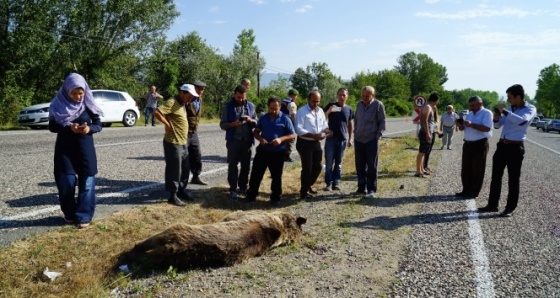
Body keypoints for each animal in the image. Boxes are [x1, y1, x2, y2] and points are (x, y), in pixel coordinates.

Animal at [120, 210, 308, 270]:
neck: (281, 227)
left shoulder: (239, 215)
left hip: (176, 231)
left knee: (152, 242)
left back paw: (132, 251)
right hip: (173, 253)